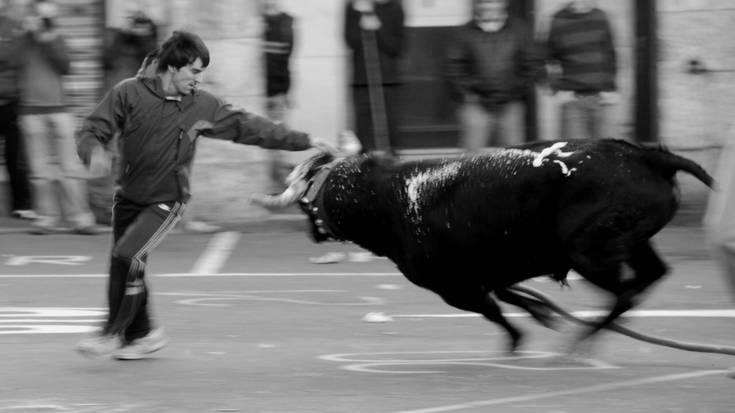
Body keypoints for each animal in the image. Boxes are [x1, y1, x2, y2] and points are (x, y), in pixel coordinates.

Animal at [252, 138, 712, 350]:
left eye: (310, 196)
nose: (311, 229)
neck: (390, 199)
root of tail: (647, 155)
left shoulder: (454, 287)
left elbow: (495, 311)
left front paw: (519, 338)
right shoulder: (490, 270)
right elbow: (508, 295)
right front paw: (541, 313)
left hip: (589, 252)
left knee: (626, 292)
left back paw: (578, 344)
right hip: (630, 242)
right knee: (649, 278)